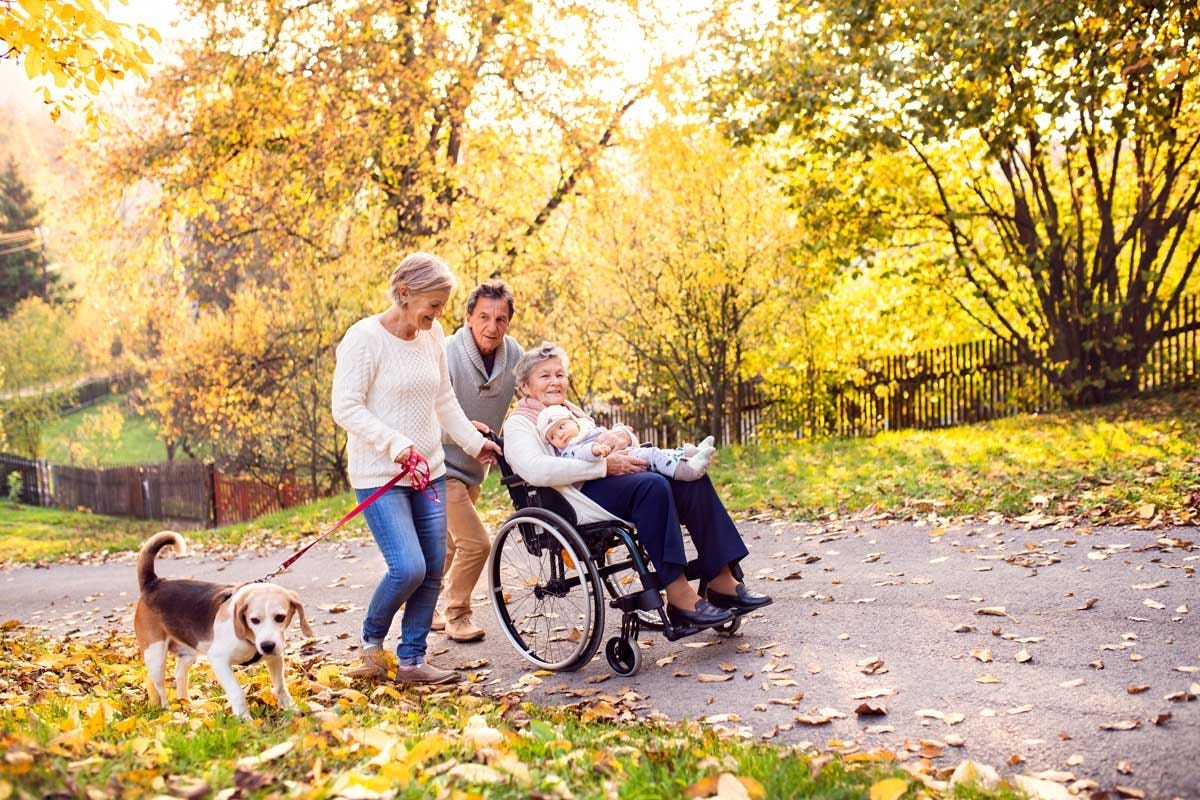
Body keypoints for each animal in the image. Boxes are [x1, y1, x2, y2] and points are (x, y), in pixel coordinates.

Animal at [132, 532, 314, 719]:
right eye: (254, 620)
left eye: (280, 617)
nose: (267, 646)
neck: (249, 638)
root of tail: (154, 583)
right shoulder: (219, 660)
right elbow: (237, 692)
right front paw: (245, 719)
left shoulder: (275, 658)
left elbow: (280, 687)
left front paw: (292, 710)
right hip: (155, 655)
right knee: (157, 684)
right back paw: (167, 710)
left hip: (188, 654)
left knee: (179, 674)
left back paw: (186, 705)